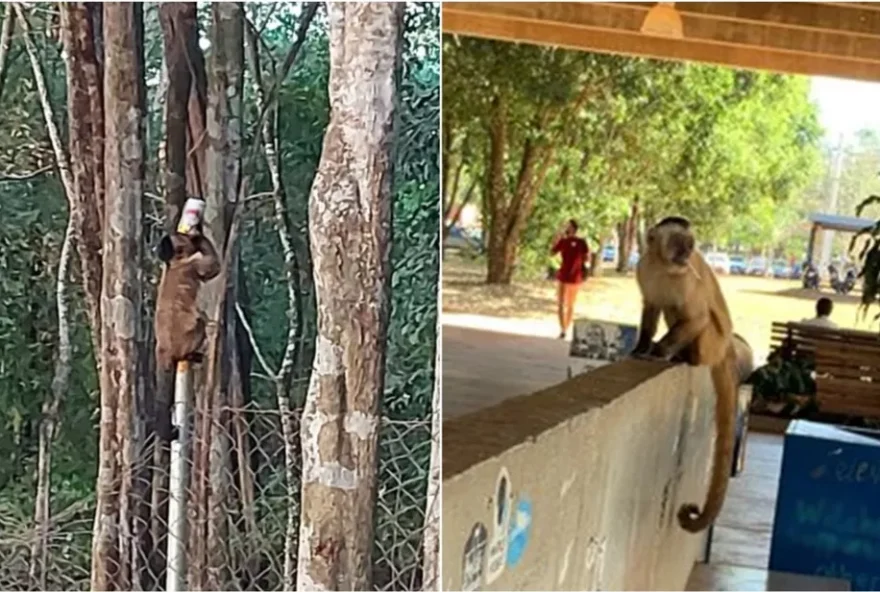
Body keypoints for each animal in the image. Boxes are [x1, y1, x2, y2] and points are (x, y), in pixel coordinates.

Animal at [153, 229, 220, 442]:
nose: (185, 235)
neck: (175, 263)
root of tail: (164, 349)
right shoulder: (193, 264)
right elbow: (214, 267)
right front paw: (197, 235)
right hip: (186, 340)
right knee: (199, 322)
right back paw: (191, 355)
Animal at [632, 216, 744, 532]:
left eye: (689, 245)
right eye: (677, 244)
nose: (685, 255)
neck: (662, 266)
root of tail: (728, 347)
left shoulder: (684, 279)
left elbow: (697, 317)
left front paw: (657, 352)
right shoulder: (644, 269)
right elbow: (651, 307)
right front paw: (640, 347)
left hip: (712, 343)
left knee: (690, 315)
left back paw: (684, 357)